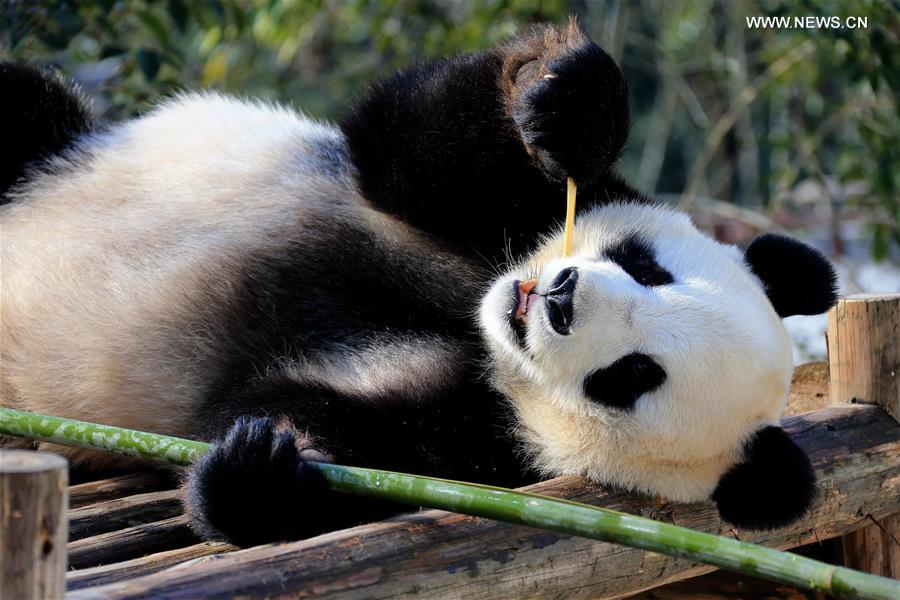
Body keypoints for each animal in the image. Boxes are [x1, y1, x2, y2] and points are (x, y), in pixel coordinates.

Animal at [0, 22, 837, 548]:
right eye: (645, 266)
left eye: (633, 376)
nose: (558, 297)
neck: (471, 318)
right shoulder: (480, 220)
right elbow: (410, 144)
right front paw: (568, 104)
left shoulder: (475, 442)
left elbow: (318, 427)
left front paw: (263, 473)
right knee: (25, 105)